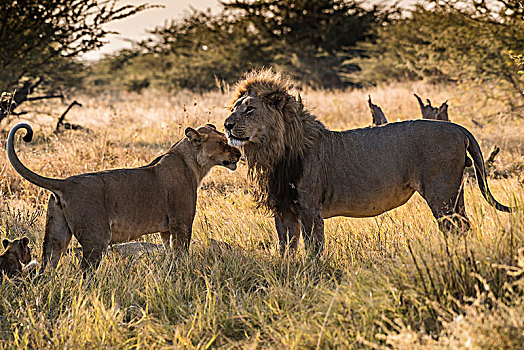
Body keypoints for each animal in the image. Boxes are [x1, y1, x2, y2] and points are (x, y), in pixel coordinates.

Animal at [7, 123, 241, 270]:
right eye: (222, 143)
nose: (239, 154)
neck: (193, 163)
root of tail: (65, 183)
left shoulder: (166, 229)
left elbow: (170, 253)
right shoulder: (181, 223)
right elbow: (181, 254)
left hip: (55, 237)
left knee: (46, 268)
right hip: (97, 238)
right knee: (84, 274)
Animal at [224, 69, 512, 254]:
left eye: (249, 109)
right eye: (233, 109)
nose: (226, 125)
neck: (272, 153)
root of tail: (457, 128)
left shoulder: (309, 207)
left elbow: (313, 249)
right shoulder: (283, 208)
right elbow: (286, 248)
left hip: (441, 192)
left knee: (454, 227)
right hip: (454, 192)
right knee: (463, 225)